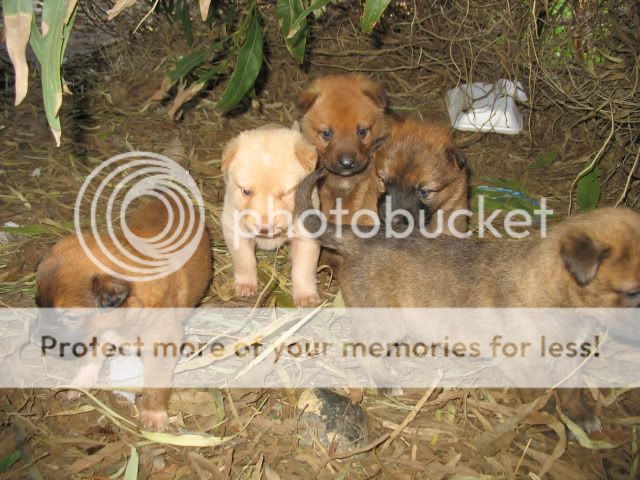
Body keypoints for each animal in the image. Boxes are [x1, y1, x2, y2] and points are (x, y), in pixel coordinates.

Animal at [34, 191, 212, 432]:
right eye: (37, 304)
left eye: (71, 317)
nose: (38, 341)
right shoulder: (98, 333)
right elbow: (89, 360)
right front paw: (78, 386)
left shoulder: (162, 341)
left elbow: (156, 382)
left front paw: (154, 413)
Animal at [221, 126, 320, 308]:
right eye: (246, 191)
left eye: (286, 193)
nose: (264, 228)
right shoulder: (234, 229)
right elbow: (245, 260)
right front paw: (245, 285)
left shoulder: (307, 238)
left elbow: (303, 269)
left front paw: (306, 296)